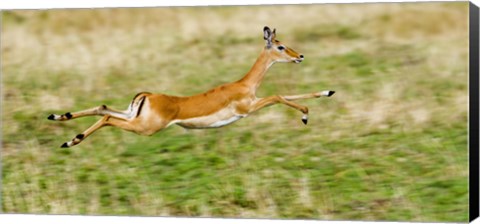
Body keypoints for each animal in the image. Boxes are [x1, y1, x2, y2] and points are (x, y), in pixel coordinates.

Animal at [47, 25, 334, 147]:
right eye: (280, 46)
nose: (300, 56)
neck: (244, 85)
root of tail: (147, 95)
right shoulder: (248, 108)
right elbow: (278, 95)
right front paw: (306, 116)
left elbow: (288, 94)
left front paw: (327, 91)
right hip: (145, 127)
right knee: (107, 117)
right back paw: (71, 141)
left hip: (132, 116)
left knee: (103, 107)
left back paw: (59, 120)